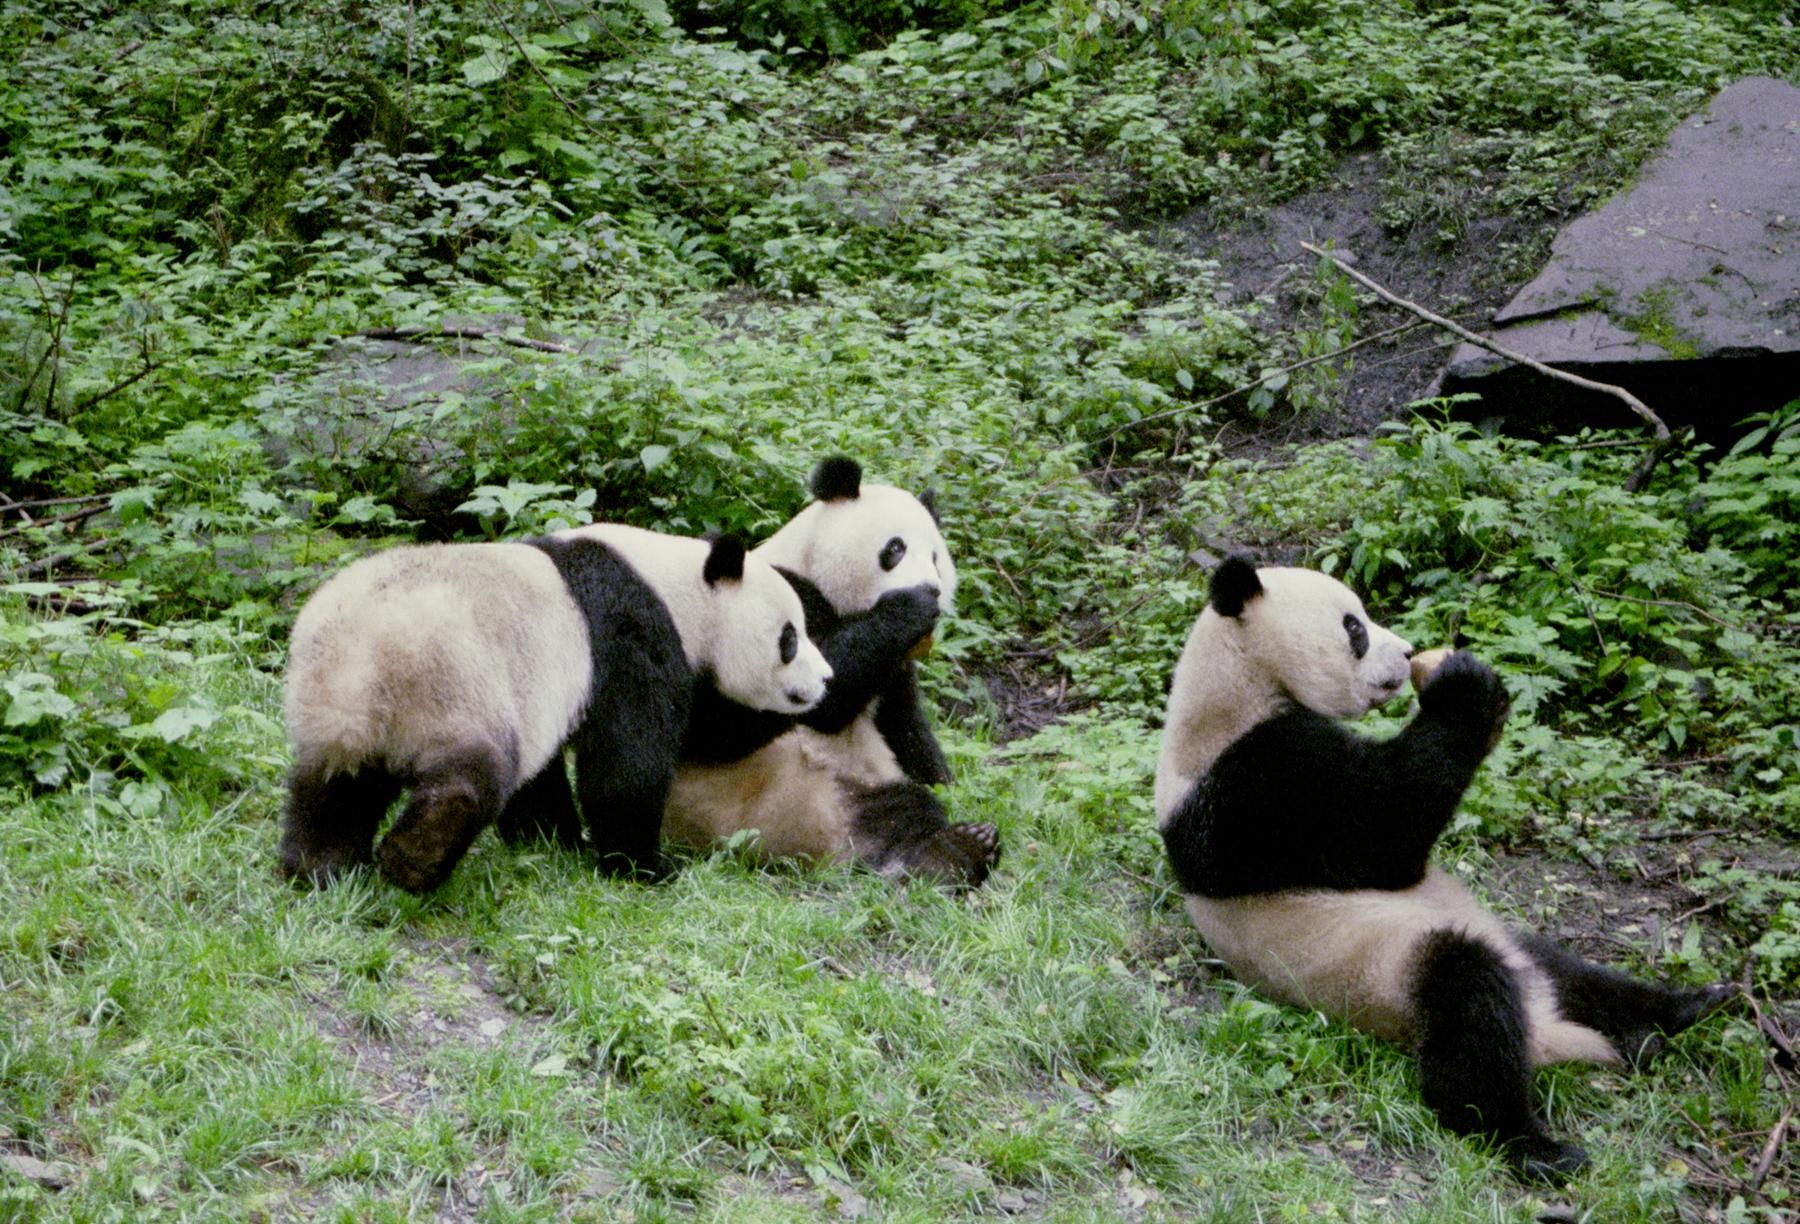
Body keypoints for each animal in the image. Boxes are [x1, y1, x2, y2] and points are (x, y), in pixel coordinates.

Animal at [279, 525, 832, 894]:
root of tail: (362, 653)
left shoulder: (546, 691)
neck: (672, 580)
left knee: (333, 787)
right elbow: (637, 760)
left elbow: (544, 776)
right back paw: (418, 854)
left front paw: (548, 838)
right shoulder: (627, 635)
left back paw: (320, 865)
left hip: (337, 709)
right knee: (474, 770)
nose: (822, 679)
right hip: (452, 681)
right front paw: (643, 865)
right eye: (789, 639)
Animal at [662, 456, 1001, 885]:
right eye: (895, 548)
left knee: (895, 811)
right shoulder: (783, 603)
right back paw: (944, 853)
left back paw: (962, 848)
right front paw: (911, 606)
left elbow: (908, 728)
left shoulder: (894, 673)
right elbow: (822, 696)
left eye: (937, 557)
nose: (932, 589)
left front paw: (948, 783)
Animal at [1155, 553, 1731, 1179]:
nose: (1408, 653)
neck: (1231, 686)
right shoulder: (1254, 786)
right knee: (1469, 1012)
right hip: (1392, 973)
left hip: (1507, 943)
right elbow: (1383, 833)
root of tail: (1547, 1029)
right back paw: (1532, 1144)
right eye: (1353, 627)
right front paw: (1466, 687)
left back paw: (1682, 1010)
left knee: (1573, 972)